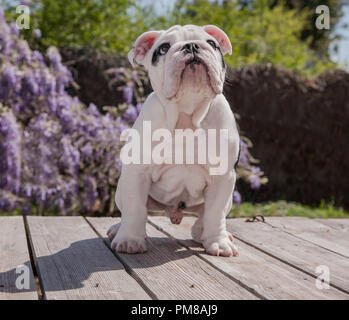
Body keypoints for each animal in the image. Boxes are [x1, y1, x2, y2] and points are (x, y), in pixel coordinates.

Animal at [107, 23, 241, 256]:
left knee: (208, 215)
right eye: (163, 48)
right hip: (122, 188)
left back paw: (204, 232)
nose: (192, 46)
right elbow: (135, 210)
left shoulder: (222, 177)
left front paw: (218, 242)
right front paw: (130, 239)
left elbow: (215, 213)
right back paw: (118, 230)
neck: (186, 115)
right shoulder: (137, 173)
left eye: (212, 43)